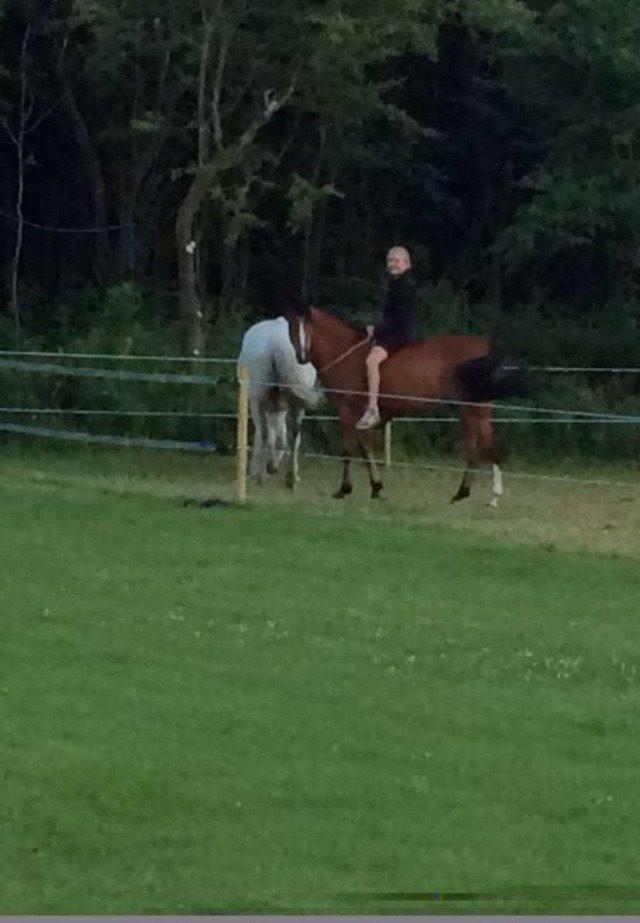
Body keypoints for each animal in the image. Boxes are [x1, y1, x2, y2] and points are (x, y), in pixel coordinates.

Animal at [290, 306, 524, 506]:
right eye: (292, 330)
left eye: (306, 328)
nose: (301, 357)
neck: (345, 352)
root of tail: (483, 348)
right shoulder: (358, 416)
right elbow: (366, 450)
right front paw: (376, 487)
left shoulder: (347, 411)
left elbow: (349, 450)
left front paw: (344, 489)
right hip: (471, 410)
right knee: (479, 448)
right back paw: (466, 494)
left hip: (473, 409)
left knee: (485, 447)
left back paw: (490, 496)